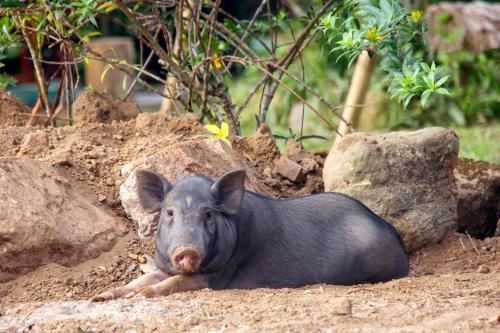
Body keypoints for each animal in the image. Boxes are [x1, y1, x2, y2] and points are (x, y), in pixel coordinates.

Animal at [92, 169, 408, 300]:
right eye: (170, 213)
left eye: (208, 214)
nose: (187, 250)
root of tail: (396, 237)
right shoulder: (164, 266)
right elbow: (142, 279)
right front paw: (101, 297)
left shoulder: (221, 274)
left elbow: (173, 283)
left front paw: (142, 295)